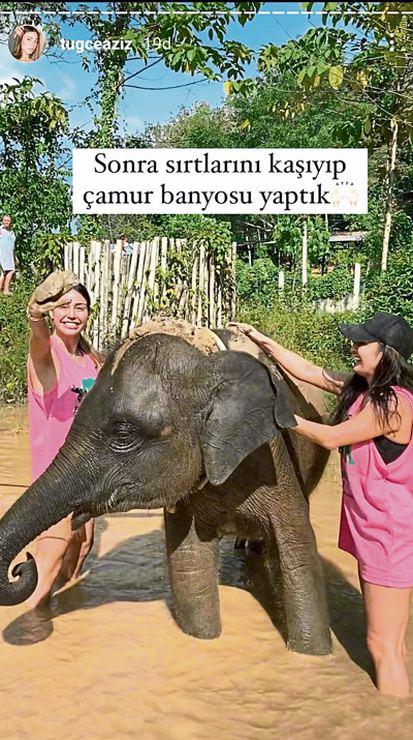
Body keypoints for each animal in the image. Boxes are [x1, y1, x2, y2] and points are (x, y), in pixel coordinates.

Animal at [0, 324, 332, 655]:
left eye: (123, 434)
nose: (23, 565)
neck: (208, 362)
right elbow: (190, 561)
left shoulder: (274, 459)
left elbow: (299, 554)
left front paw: (313, 655)